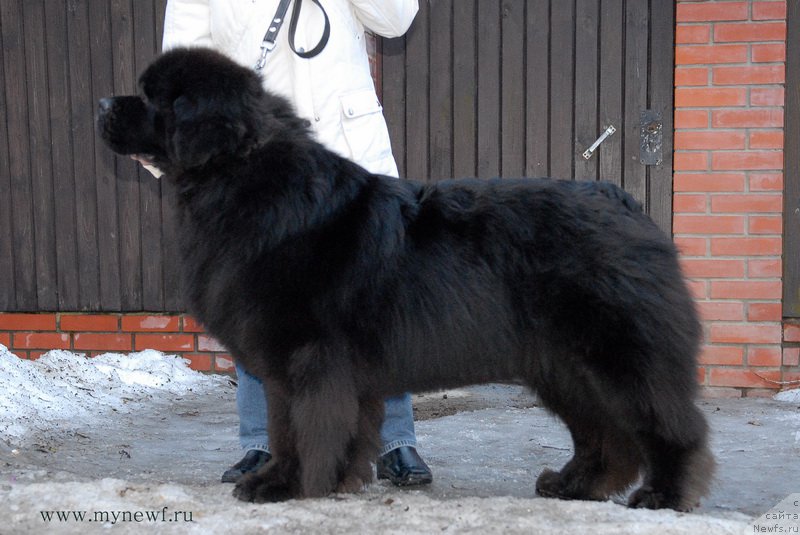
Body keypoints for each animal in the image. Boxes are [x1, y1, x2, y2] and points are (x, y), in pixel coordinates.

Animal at [97, 47, 716, 510]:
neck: (244, 181)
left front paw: (285, 485)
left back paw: (662, 496)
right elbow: (312, 427)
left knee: (666, 424)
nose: (102, 101)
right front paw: (331, 480)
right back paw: (572, 485)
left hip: (618, 355)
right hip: (564, 368)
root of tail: (624, 200)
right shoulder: (314, 368)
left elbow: (297, 425)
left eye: (153, 98)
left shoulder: (305, 356)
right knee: (604, 434)